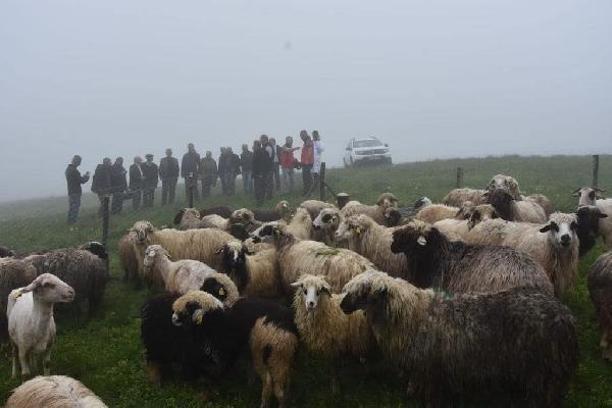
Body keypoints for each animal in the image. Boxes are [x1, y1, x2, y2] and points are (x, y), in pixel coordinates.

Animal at [340, 270, 580, 406]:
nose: (342, 306)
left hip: (542, 368)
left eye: (362, 292)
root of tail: (565, 315)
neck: (411, 314)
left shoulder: (429, 367)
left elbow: (430, 395)